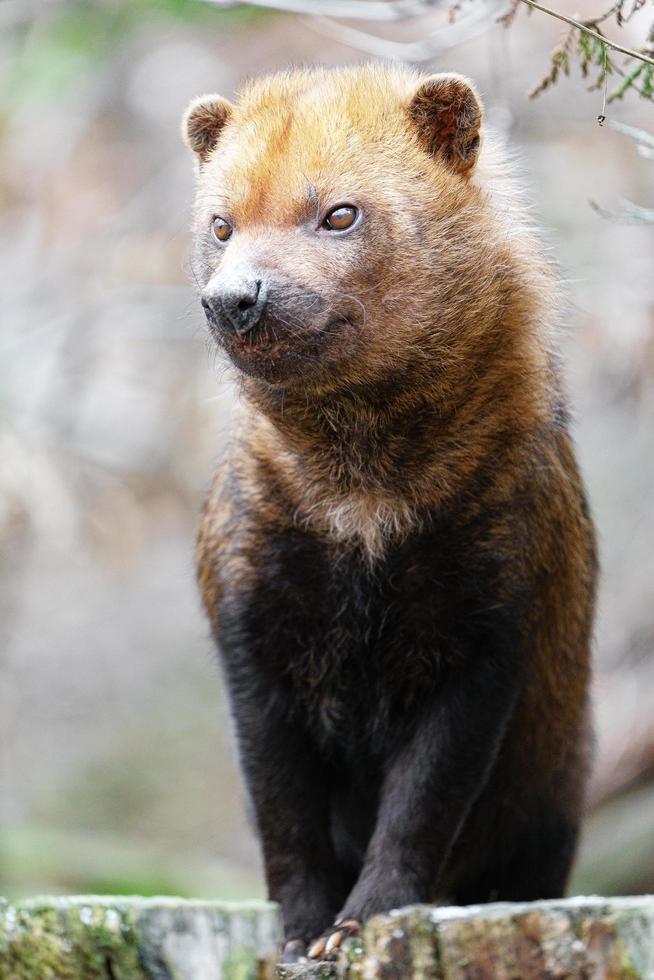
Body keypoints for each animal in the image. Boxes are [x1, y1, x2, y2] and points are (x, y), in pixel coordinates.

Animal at [182, 63, 596, 964]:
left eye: (340, 212)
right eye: (221, 224)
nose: (234, 301)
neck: (363, 509)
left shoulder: (492, 626)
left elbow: (424, 803)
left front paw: (363, 921)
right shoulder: (248, 624)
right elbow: (282, 809)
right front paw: (301, 935)